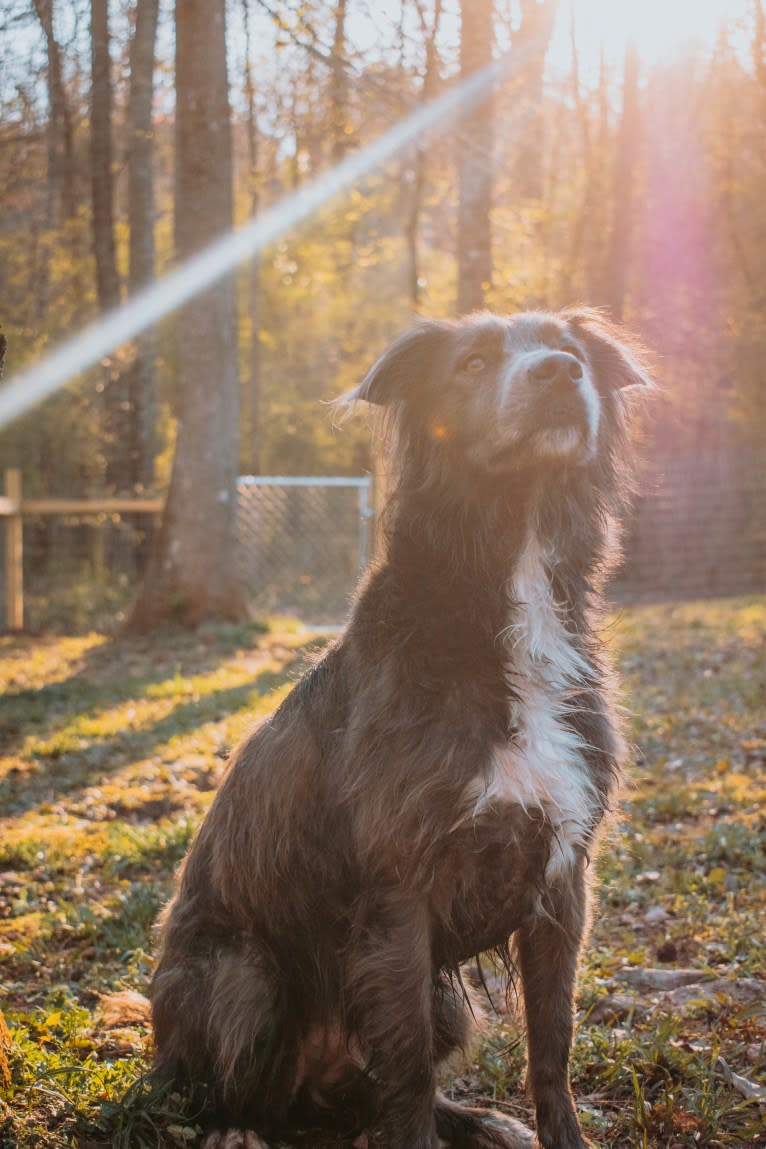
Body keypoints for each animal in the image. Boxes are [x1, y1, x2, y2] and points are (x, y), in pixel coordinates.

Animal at [151, 307, 652, 1149]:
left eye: (570, 348)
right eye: (474, 361)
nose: (559, 373)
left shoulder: (563, 878)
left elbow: (552, 1041)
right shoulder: (399, 889)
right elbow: (407, 1064)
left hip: (447, 1001)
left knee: (360, 1089)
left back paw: (478, 1119)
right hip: (241, 975)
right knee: (234, 1088)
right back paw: (233, 1127)